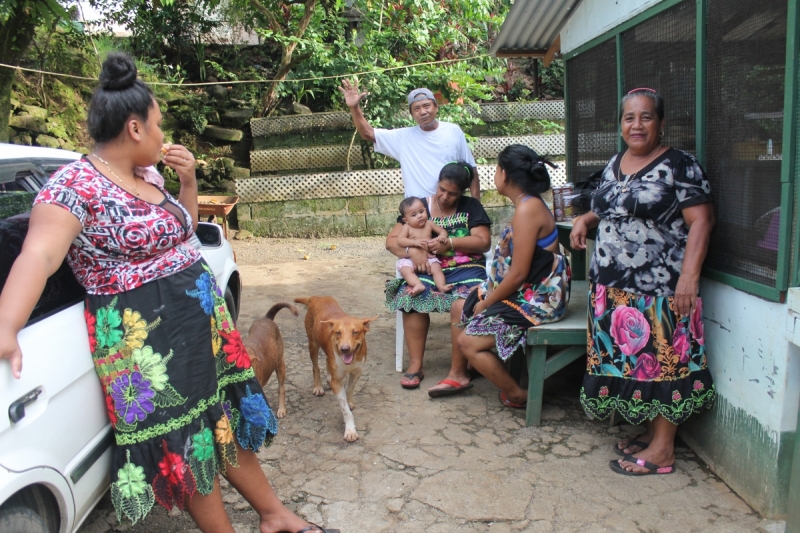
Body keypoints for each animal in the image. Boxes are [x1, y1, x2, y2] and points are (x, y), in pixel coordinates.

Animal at [296, 296, 376, 440]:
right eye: (338, 333)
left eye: (355, 332)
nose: (344, 349)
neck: (351, 361)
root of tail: (316, 297)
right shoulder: (337, 383)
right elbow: (345, 409)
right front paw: (350, 430)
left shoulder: (357, 372)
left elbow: (349, 389)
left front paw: (350, 402)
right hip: (313, 344)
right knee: (315, 367)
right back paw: (318, 387)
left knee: (328, 359)